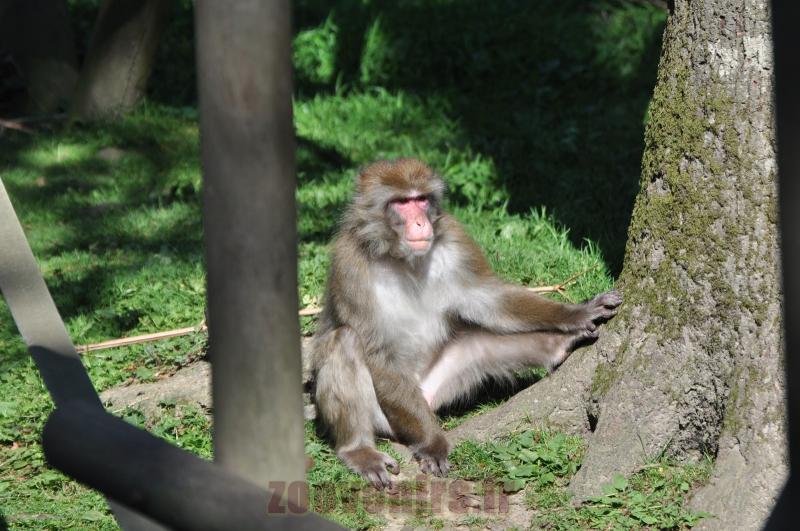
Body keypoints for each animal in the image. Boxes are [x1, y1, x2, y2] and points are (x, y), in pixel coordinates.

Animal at [310, 159, 622, 489]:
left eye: (421, 199)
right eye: (402, 203)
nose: (420, 223)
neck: (402, 258)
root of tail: (424, 395)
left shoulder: (455, 238)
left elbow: (488, 299)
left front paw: (575, 313)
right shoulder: (349, 264)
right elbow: (377, 351)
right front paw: (433, 444)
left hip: (438, 386)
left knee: (479, 343)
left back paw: (557, 345)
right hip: (391, 414)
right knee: (344, 341)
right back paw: (359, 450)